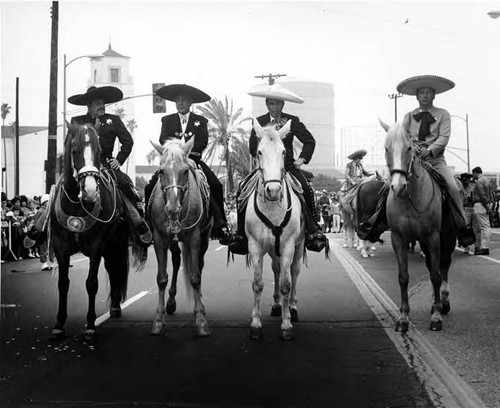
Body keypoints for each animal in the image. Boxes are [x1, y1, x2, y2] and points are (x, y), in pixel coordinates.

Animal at [50, 122, 140, 340]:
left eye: (99, 152)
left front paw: (90, 325)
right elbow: (63, 283)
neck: (77, 204)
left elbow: (91, 283)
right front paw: (59, 324)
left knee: (115, 269)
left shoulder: (96, 246)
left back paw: (115, 307)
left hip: (116, 244)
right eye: (74, 150)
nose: (90, 191)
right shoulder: (60, 245)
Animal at [243, 118, 302, 342]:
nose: (273, 190)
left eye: (284, 151)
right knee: (276, 270)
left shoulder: (288, 246)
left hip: (299, 246)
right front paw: (256, 323)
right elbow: (258, 283)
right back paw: (277, 304)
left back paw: (291, 307)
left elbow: (286, 283)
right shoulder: (255, 246)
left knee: (293, 272)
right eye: (259, 152)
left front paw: (286, 325)